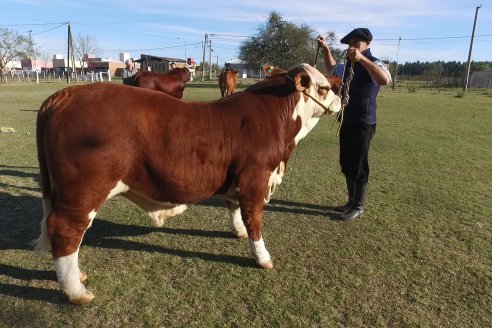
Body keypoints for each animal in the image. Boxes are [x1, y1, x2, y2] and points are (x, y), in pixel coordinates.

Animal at [35, 62, 342, 304]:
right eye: (325, 87)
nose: (341, 97)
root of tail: (66, 94)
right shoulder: (255, 179)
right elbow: (254, 220)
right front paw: (262, 257)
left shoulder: (236, 181)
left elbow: (233, 208)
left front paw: (238, 231)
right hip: (84, 191)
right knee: (65, 229)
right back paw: (76, 291)